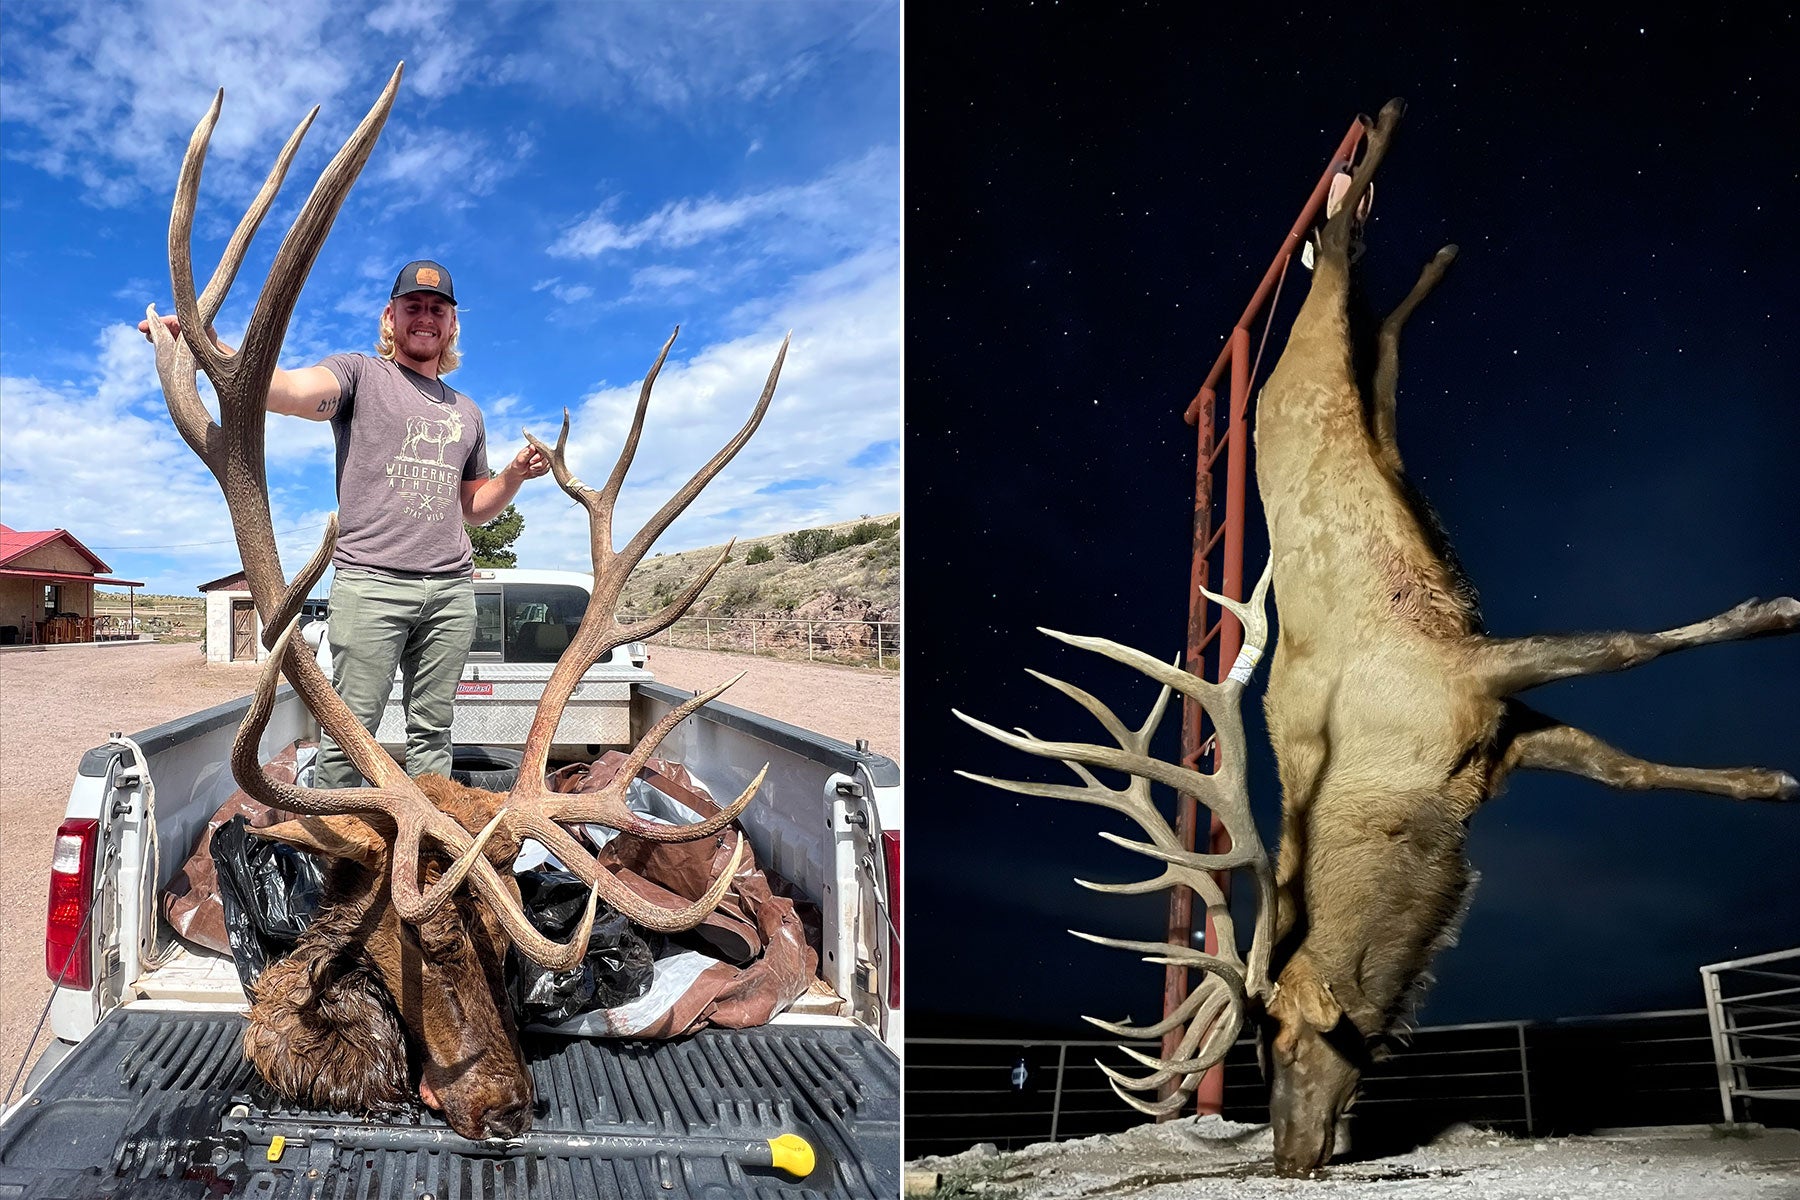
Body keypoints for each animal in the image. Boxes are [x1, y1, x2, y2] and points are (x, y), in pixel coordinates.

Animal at [961, 98, 1797, 1177]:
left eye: (1283, 1038)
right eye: (1258, 1057)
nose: (1290, 1155)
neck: (1401, 792)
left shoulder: (1470, 675)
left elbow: (1630, 649)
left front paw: (1776, 615)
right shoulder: (1503, 735)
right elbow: (1629, 768)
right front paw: (1771, 780)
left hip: (1322, 332)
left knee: (1343, 243)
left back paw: (1382, 133)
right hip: (1373, 393)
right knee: (1382, 323)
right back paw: (1434, 249)